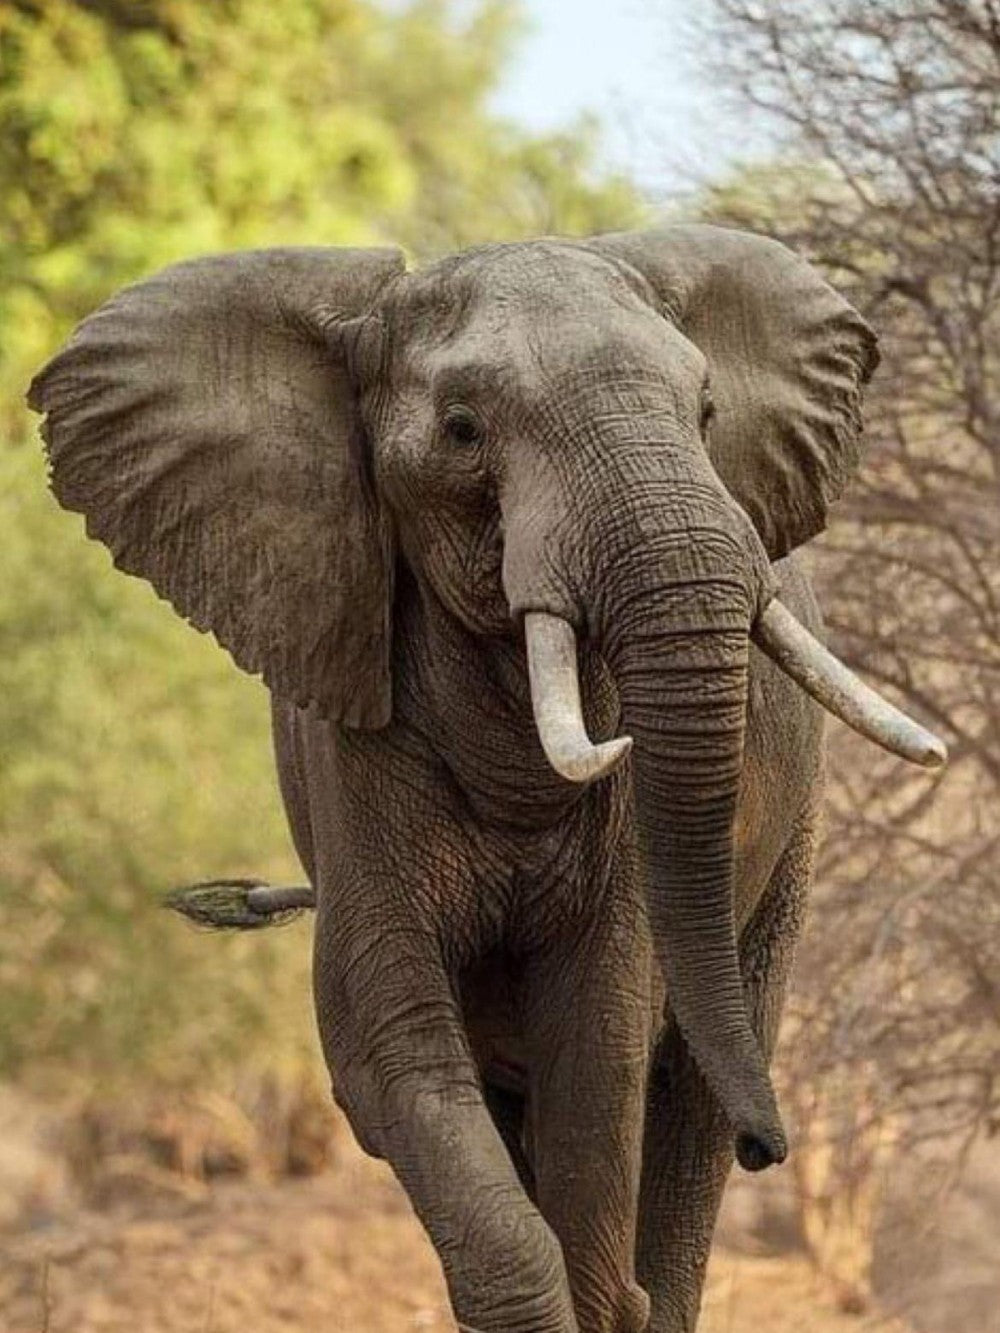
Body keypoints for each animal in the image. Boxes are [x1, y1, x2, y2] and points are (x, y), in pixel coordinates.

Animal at [28, 225, 945, 1333]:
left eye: (706, 413)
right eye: (463, 430)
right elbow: (392, 1045)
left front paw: (610, 1295)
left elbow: (598, 1045)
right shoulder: (354, 749)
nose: (774, 1146)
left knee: (688, 1110)